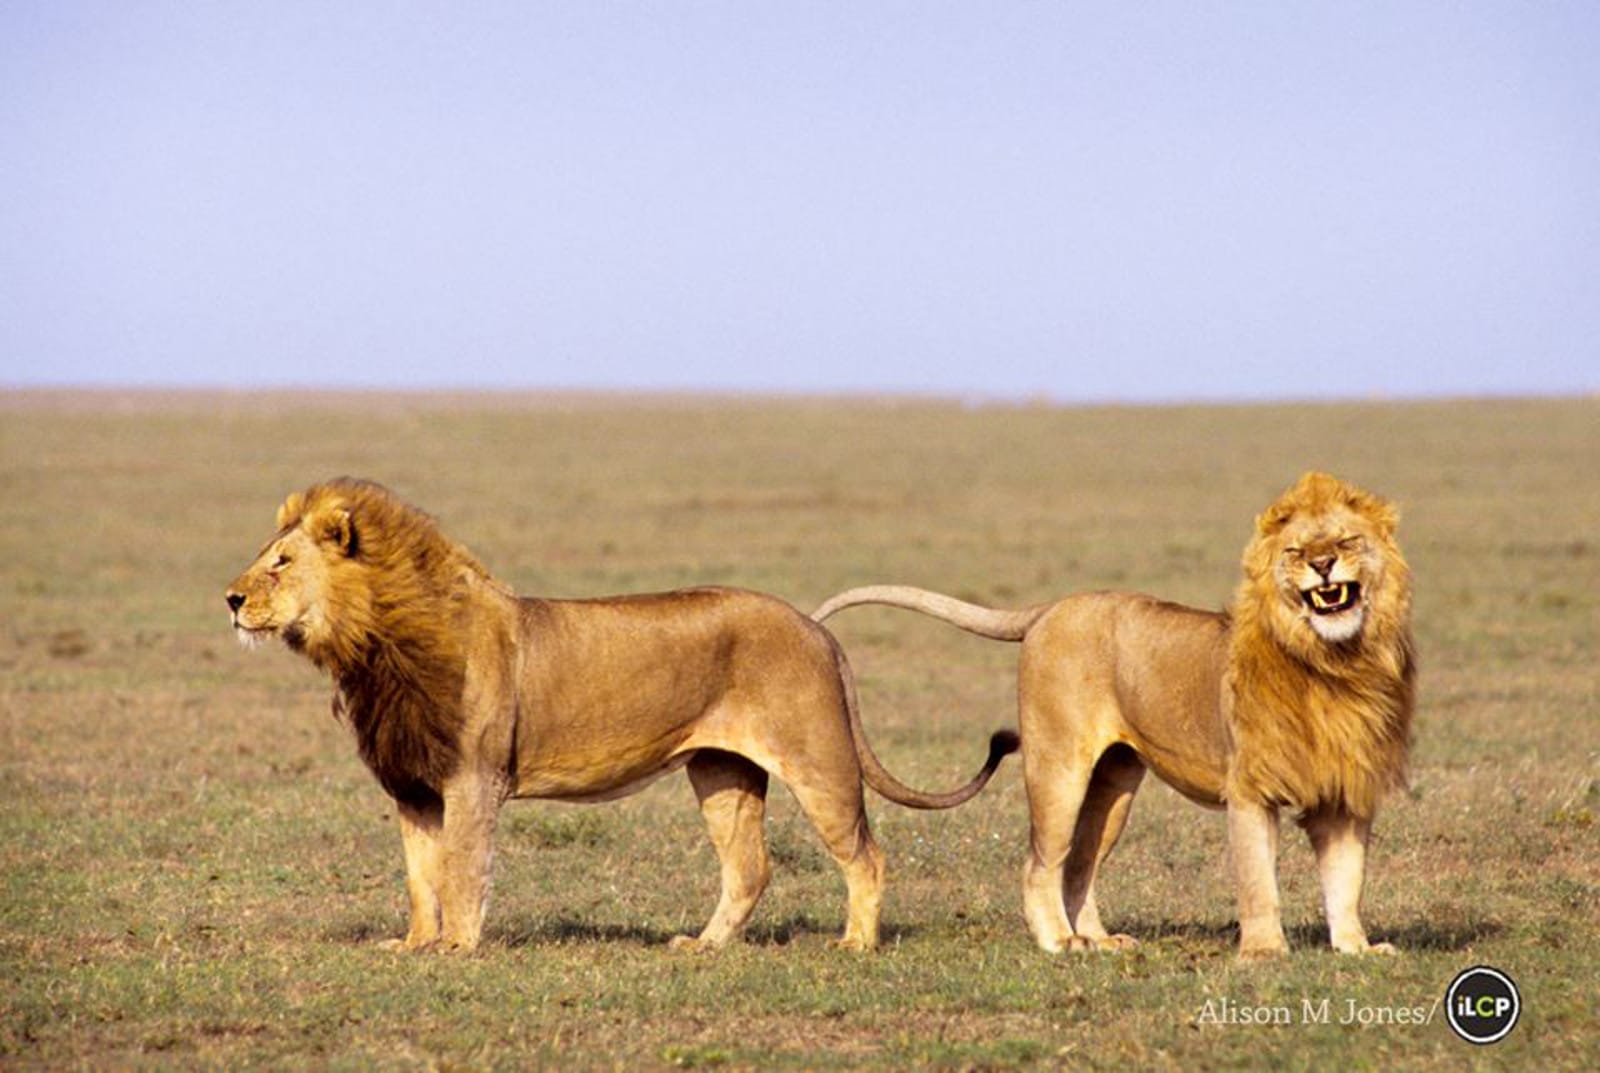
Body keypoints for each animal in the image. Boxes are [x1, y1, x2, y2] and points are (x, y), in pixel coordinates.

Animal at [225, 478, 1016, 953]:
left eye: (280, 563)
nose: (230, 599)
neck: (375, 647)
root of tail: (814, 626)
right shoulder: (414, 784)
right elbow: (421, 876)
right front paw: (417, 944)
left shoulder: (474, 778)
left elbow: (460, 869)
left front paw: (457, 947)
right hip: (722, 772)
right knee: (750, 867)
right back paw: (704, 946)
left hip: (817, 760)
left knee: (865, 853)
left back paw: (856, 943)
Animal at [813, 472, 1415, 958]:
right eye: (1294, 550)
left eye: (1346, 541)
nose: (1322, 564)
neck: (1335, 663)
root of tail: (1052, 607)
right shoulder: (1250, 790)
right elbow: (1257, 882)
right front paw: (1265, 953)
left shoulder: (1346, 794)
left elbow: (1346, 880)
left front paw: (1357, 948)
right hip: (1058, 768)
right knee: (1041, 862)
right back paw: (1060, 941)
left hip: (1115, 782)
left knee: (1080, 864)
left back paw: (1098, 939)